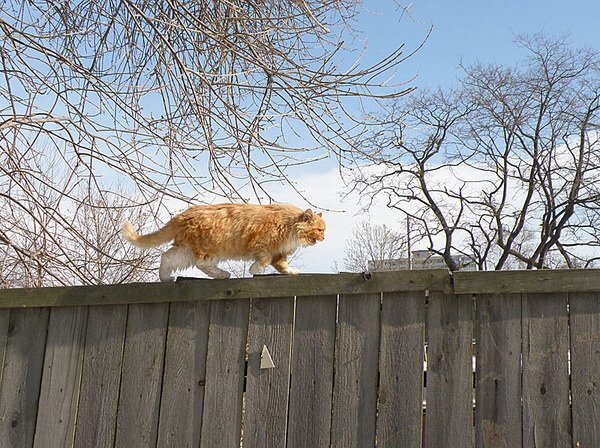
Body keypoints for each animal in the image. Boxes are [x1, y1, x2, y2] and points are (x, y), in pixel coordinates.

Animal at [122, 203, 326, 280]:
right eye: (319, 230)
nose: (324, 238)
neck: (289, 226)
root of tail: (183, 215)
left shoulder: (279, 254)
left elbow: (282, 266)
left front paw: (292, 271)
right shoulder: (261, 245)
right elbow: (263, 261)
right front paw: (254, 270)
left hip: (185, 250)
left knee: (167, 257)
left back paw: (165, 278)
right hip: (209, 249)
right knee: (202, 263)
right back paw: (222, 274)